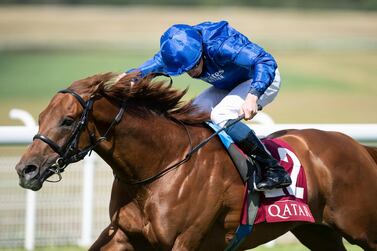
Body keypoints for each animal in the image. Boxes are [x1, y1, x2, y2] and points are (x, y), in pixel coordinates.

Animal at [15, 72, 376, 249]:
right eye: (41, 116)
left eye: (67, 120)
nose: (25, 169)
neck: (160, 165)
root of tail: (359, 147)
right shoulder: (122, 236)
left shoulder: (184, 242)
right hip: (317, 232)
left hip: (361, 228)